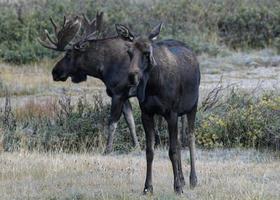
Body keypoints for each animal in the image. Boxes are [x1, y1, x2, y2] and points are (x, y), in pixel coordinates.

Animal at [116, 23, 201, 194]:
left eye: (147, 52)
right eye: (129, 52)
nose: (132, 76)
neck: (154, 85)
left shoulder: (171, 113)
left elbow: (172, 150)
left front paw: (177, 187)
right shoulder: (147, 113)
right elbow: (150, 151)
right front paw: (148, 187)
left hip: (192, 106)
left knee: (190, 138)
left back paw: (192, 179)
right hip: (179, 113)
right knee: (180, 140)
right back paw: (182, 178)